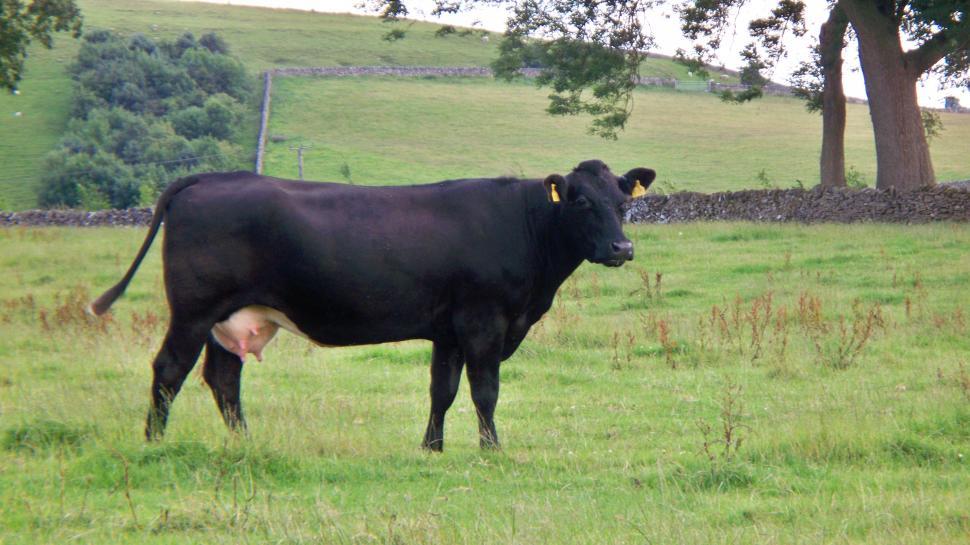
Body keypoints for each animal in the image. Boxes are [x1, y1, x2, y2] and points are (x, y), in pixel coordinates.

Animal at [89, 159, 655, 451]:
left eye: (623, 203)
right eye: (581, 201)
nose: (622, 248)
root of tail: (209, 178)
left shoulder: (448, 329)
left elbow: (442, 391)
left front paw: (432, 449)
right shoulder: (483, 320)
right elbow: (485, 391)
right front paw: (491, 449)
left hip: (232, 318)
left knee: (223, 378)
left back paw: (245, 443)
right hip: (193, 311)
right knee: (170, 370)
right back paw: (154, 443)